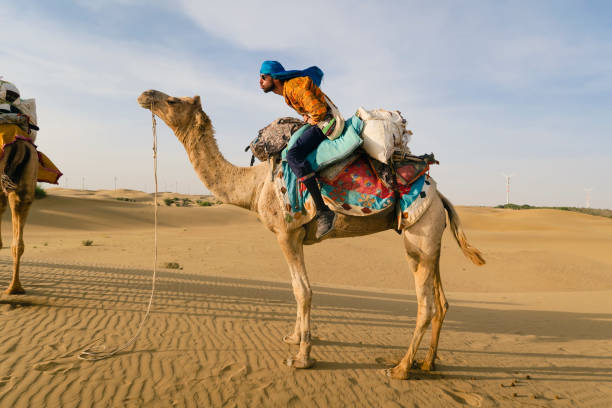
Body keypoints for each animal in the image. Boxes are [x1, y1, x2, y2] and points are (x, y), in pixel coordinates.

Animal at [136, 90, 486, 380]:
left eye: (173, 101)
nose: (145, 94)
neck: (254, 186)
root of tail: (440, 196)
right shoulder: (295, 236)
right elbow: (296, 289)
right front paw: (294, 338)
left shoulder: (286, 232)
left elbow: (302, 290)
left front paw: (302, 358)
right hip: (432, 238)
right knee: (442, 302)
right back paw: (428, 363)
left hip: (418, 236)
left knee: (426, 305)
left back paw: (400, 368)